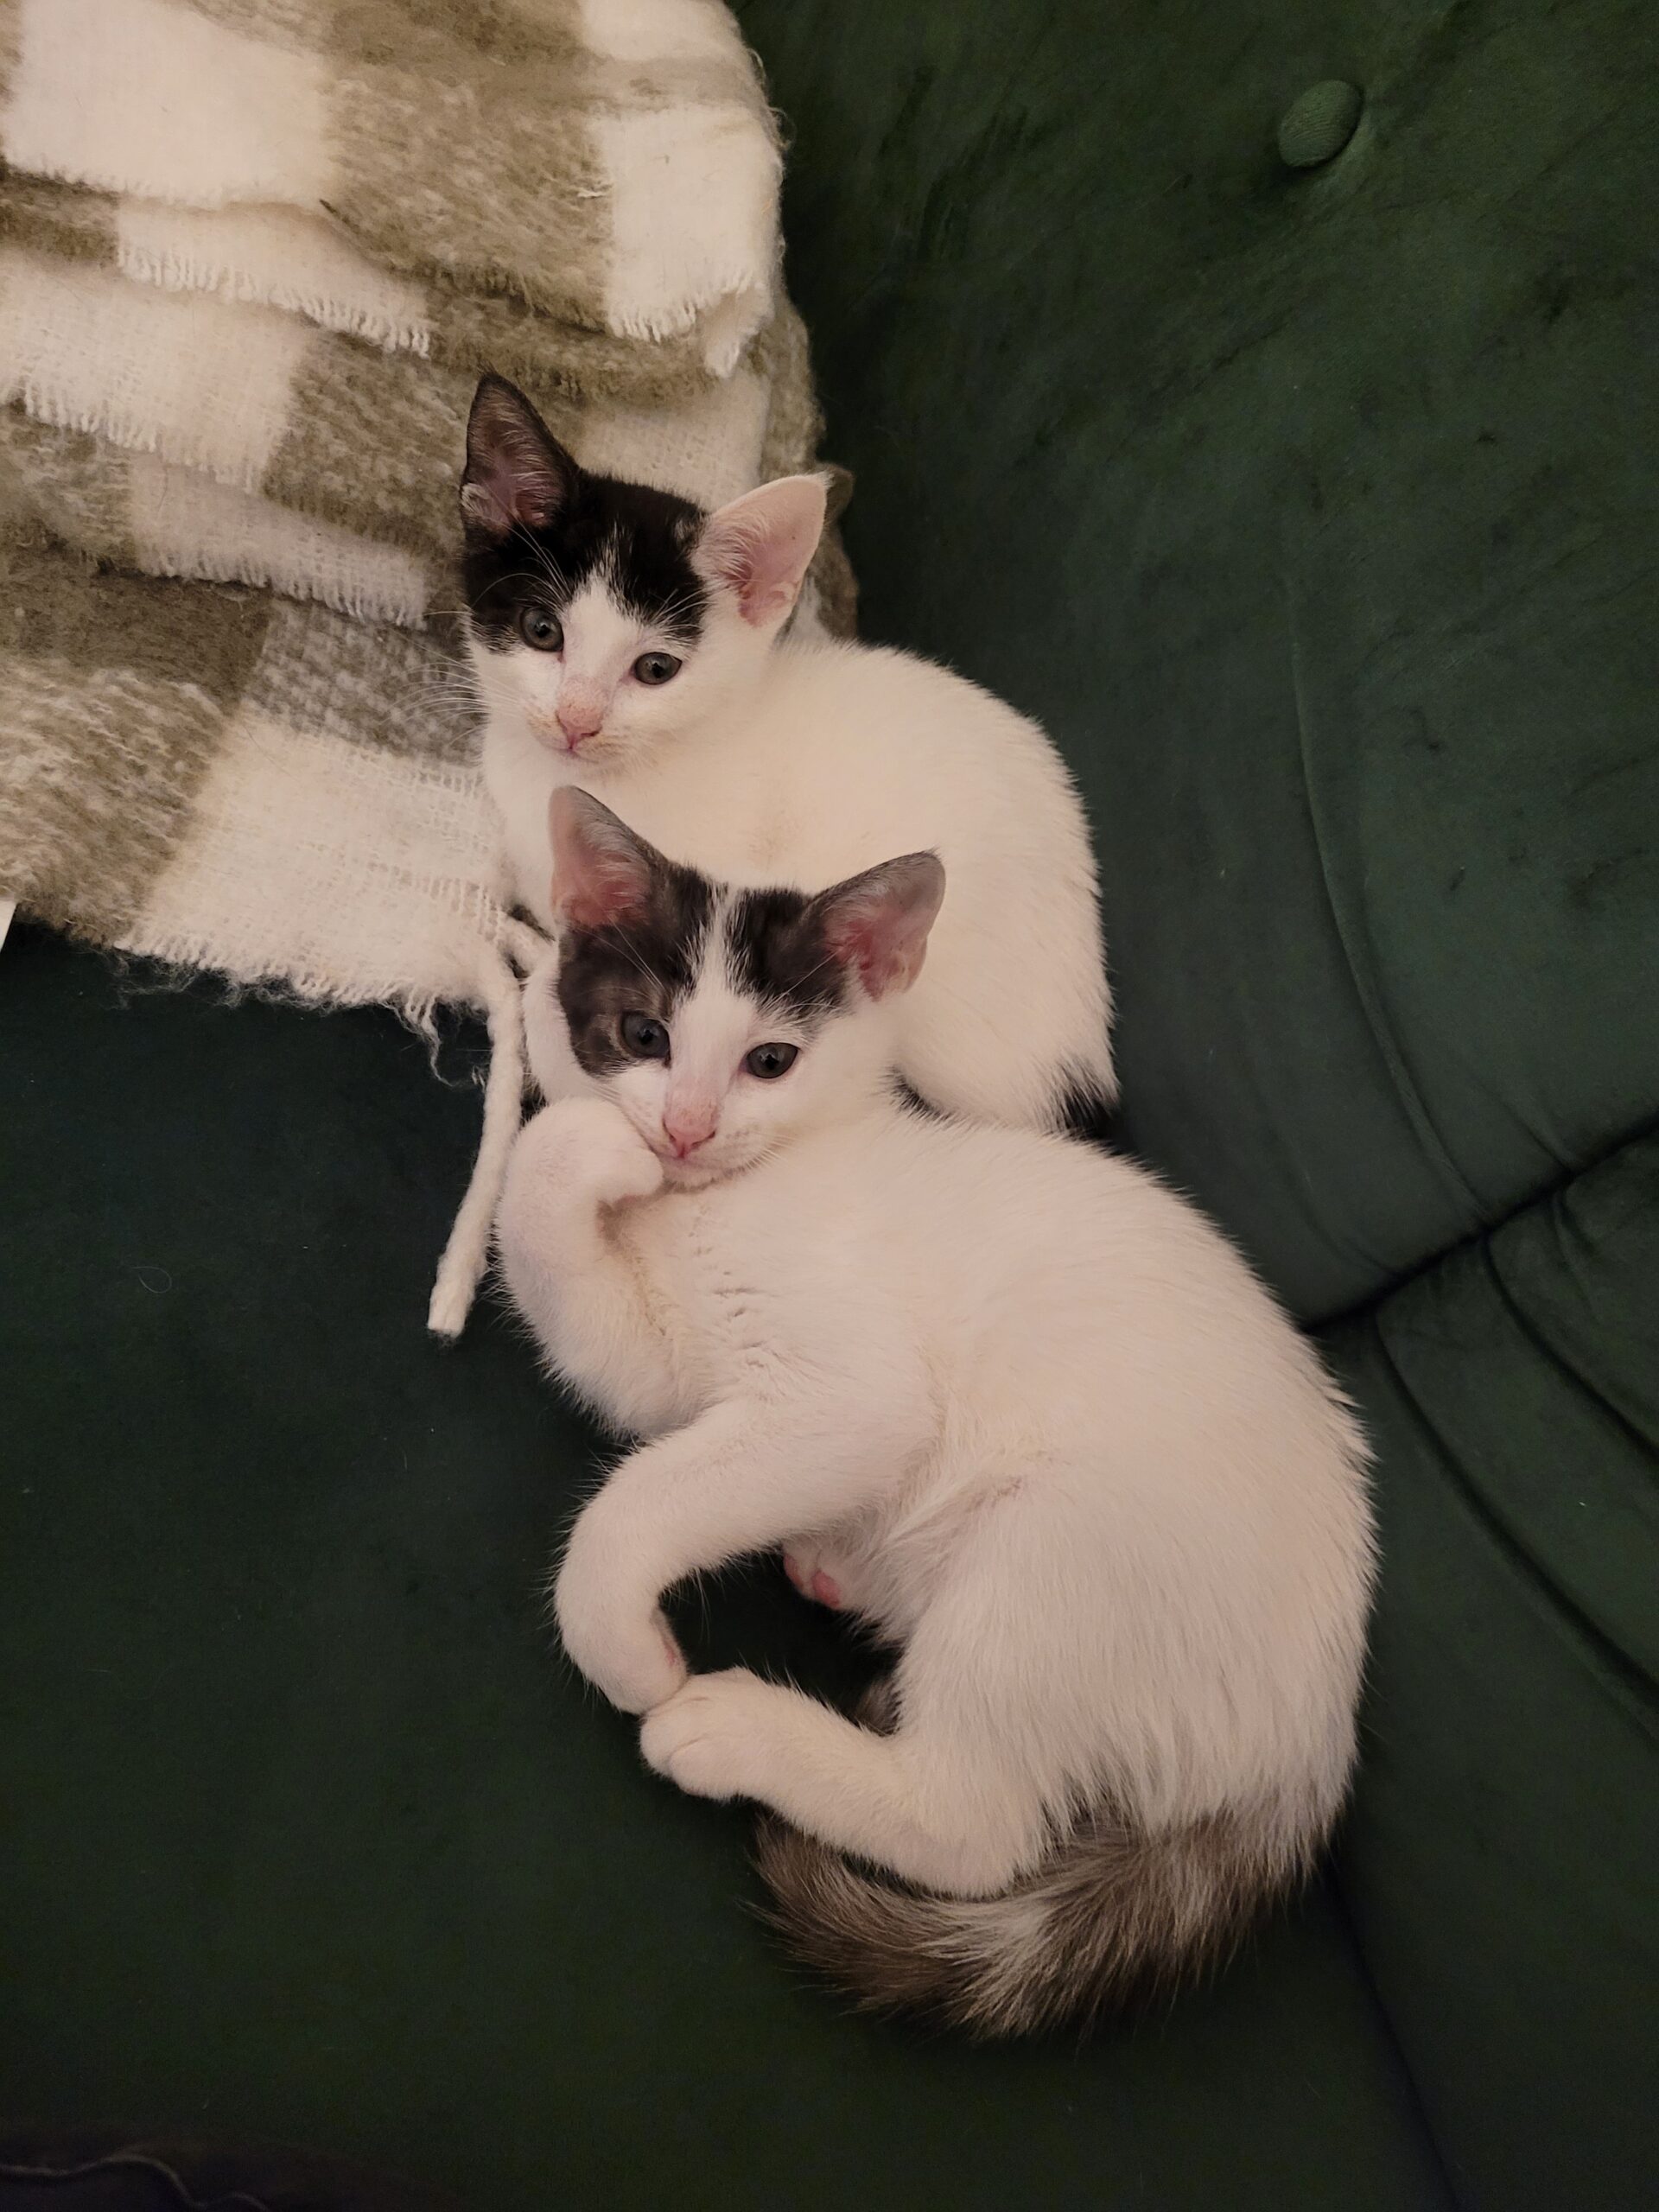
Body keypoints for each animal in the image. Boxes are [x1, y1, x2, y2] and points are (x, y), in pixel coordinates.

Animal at [494, 786, 1376, 2037]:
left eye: (771, 1060)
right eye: (643, 1035)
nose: (685, 1128)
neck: (712, 1202)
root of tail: (1315, 1745)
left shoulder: (851, 1398)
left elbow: (635, 1505)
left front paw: (627, 1653)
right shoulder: (650, 1363)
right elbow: (547, 1219)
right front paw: (579, 1136)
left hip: (1055, 1560)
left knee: (973, 1828)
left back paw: (736, 1728)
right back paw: (837, 1564)